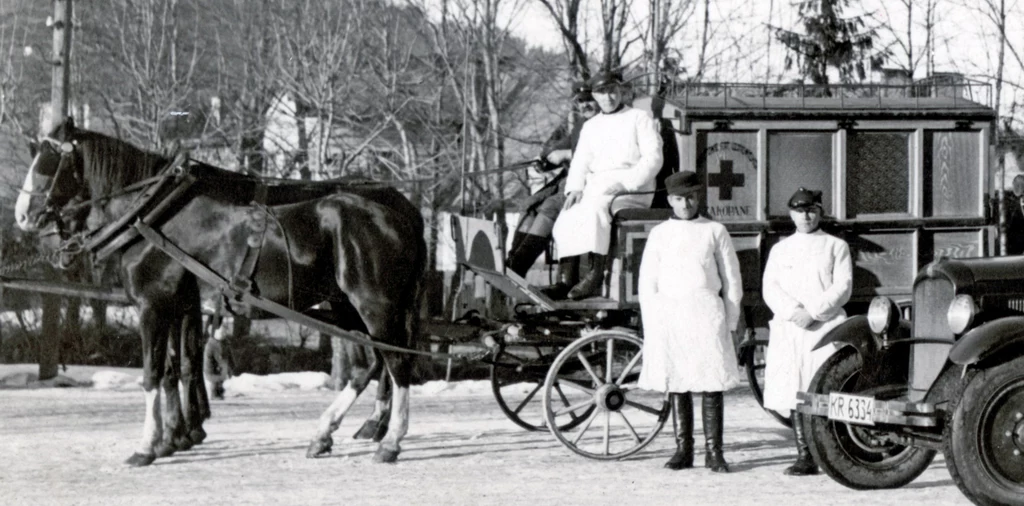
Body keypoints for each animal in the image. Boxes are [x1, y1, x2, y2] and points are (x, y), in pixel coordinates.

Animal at [17, 119, 423, 467]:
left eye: (48, 163)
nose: (22, 215)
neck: (152, 214)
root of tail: (399, 215)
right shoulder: (181, 303)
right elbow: (176, 366)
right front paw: (175, 437)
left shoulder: (154, 304)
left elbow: (154, 372)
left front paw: (151, 445)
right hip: (344, 306)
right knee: (368, 365)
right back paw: (327, 433)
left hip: (374, 304)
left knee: (397, 362)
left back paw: (389, 440)